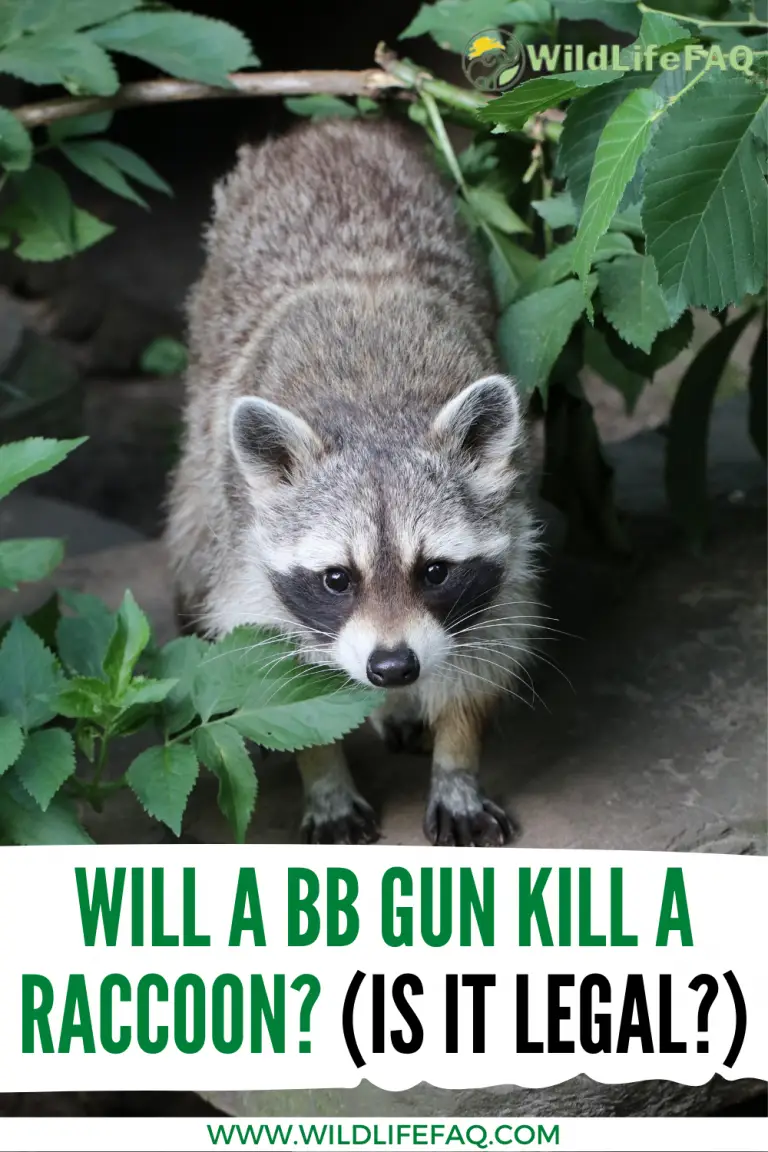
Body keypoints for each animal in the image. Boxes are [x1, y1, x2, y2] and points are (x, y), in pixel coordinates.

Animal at [166, 118, 539, 847]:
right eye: (337, 578)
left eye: (435, 571)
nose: (392, 667)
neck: (376, 417)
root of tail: (326, 129)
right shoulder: (249, 545)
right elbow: (281, 680)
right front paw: (326, 779)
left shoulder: (510, 524)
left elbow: (485, 651)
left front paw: (457, 762)